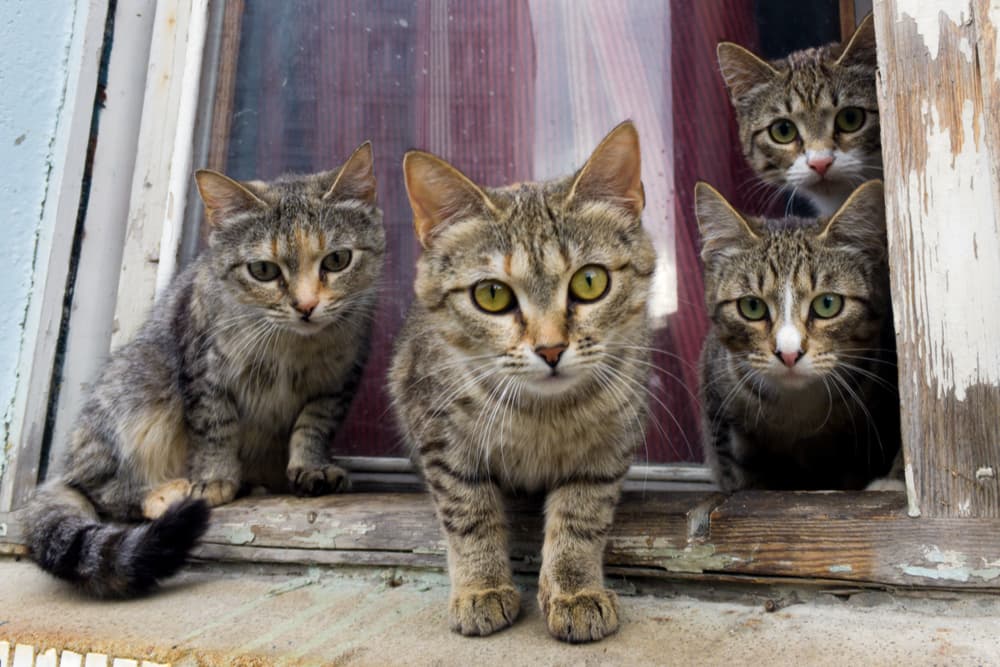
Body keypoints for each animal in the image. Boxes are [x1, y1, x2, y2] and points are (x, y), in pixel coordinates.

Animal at [26, 142, 386, 600]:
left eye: (337, 260)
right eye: (263, 270)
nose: (306, 306)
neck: (294, 347)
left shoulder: (338, 380)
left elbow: (314, 425)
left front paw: (312, 466)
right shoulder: (205, 371)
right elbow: (216, 428)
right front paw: (214, 478)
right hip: (133, 400)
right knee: (102, 491)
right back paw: (166, 493)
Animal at [388, 122, 656, 644]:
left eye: (590, 282)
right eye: (491, 294)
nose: (550, 349)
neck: (541, 413)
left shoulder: (609, 443)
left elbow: (582, 514)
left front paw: (574, 590)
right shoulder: (437, 433)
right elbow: (468, 512)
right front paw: (481, 587)